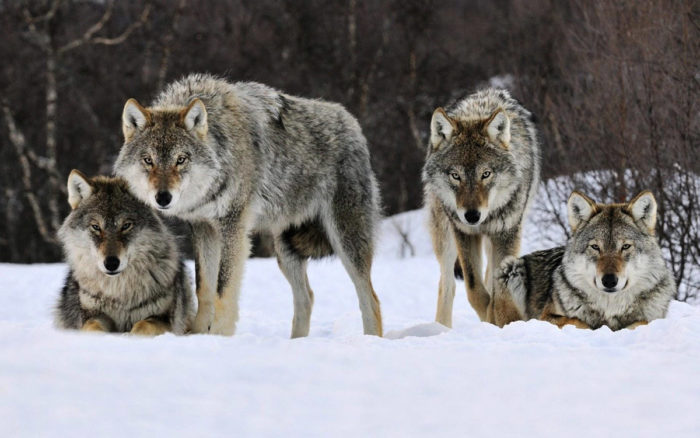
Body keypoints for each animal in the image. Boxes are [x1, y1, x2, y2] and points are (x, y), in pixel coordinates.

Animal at [54, 171, 194, 336]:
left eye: (126, 225)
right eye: (96, 227)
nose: (111, 263)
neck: (119, 293)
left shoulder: (163, 319)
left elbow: (143, 326)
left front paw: (129, 336)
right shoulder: (92, 315)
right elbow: (92, 327)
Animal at [117, 73, 386, 338]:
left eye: (181, 159)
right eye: (148, 160)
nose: (163, 198)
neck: (221, 148)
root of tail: (352, 123)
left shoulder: (233, 227)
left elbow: (223, 291)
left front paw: (219, 336)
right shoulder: (204, 228)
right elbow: (204, 289)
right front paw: (198, 334)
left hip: (345, 241)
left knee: (370, 299)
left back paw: (370, 340)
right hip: (285, 249)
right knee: (307, 298)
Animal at [422, 87, 540, 326]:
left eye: (486, 174)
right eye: (455, 175)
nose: (472, 216)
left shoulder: (507, 233)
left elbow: (498, 290)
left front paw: (499, 320)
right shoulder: (464, 233)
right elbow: (474, 289)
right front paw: (489, 317)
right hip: (445, 237)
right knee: (447, 284)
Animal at [494, 190, 676, 330]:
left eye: (625, 247)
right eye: (595, 247)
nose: (609, 280)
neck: (610, 309)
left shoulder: (653, 318)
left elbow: (641, 322)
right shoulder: (545, 317)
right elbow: (577, 321)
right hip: (510, 269)